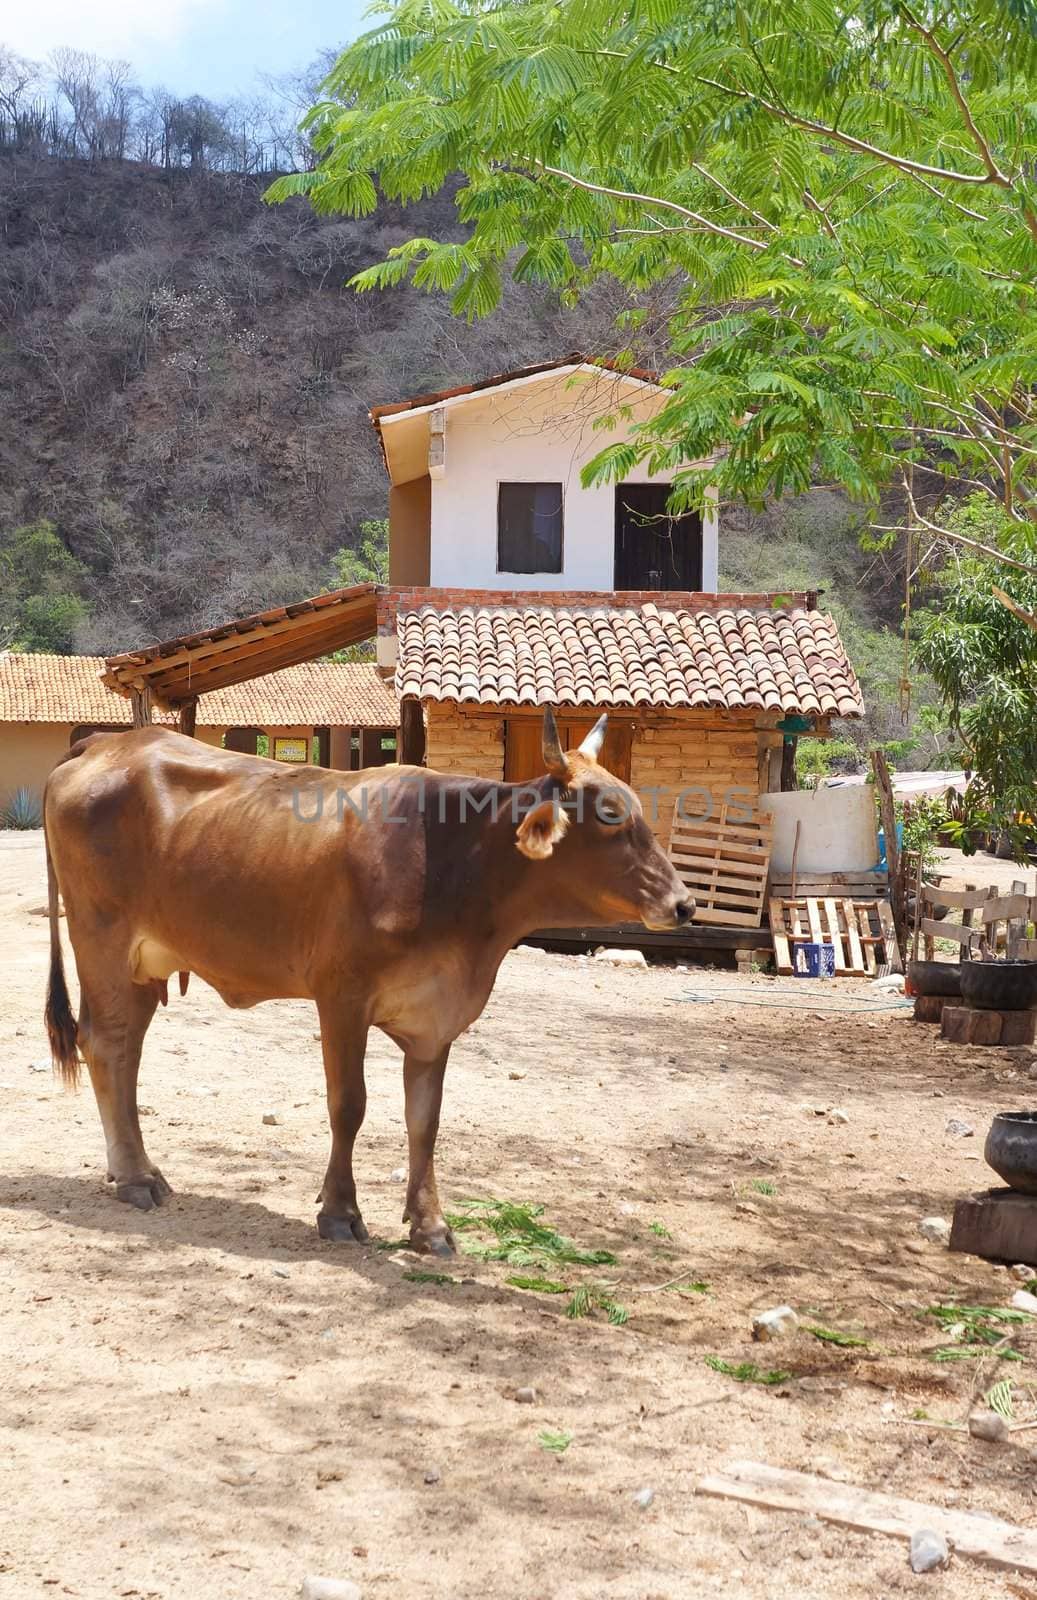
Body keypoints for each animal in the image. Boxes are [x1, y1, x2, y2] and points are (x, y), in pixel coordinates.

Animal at [44, 710, 691, 1248]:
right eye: (610, 815)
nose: (684, 904)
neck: (452, 861)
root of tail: (107, 741)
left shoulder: (436, 1017)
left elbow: (424, 1120)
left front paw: (430, 1224)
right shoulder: (341, 997)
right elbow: (348, 1105)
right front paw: (339, 1212)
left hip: (142, 964)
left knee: (125, 1052)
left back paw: (137, 1168)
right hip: (101, 941)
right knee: (107, 1045)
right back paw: (134, 1178)